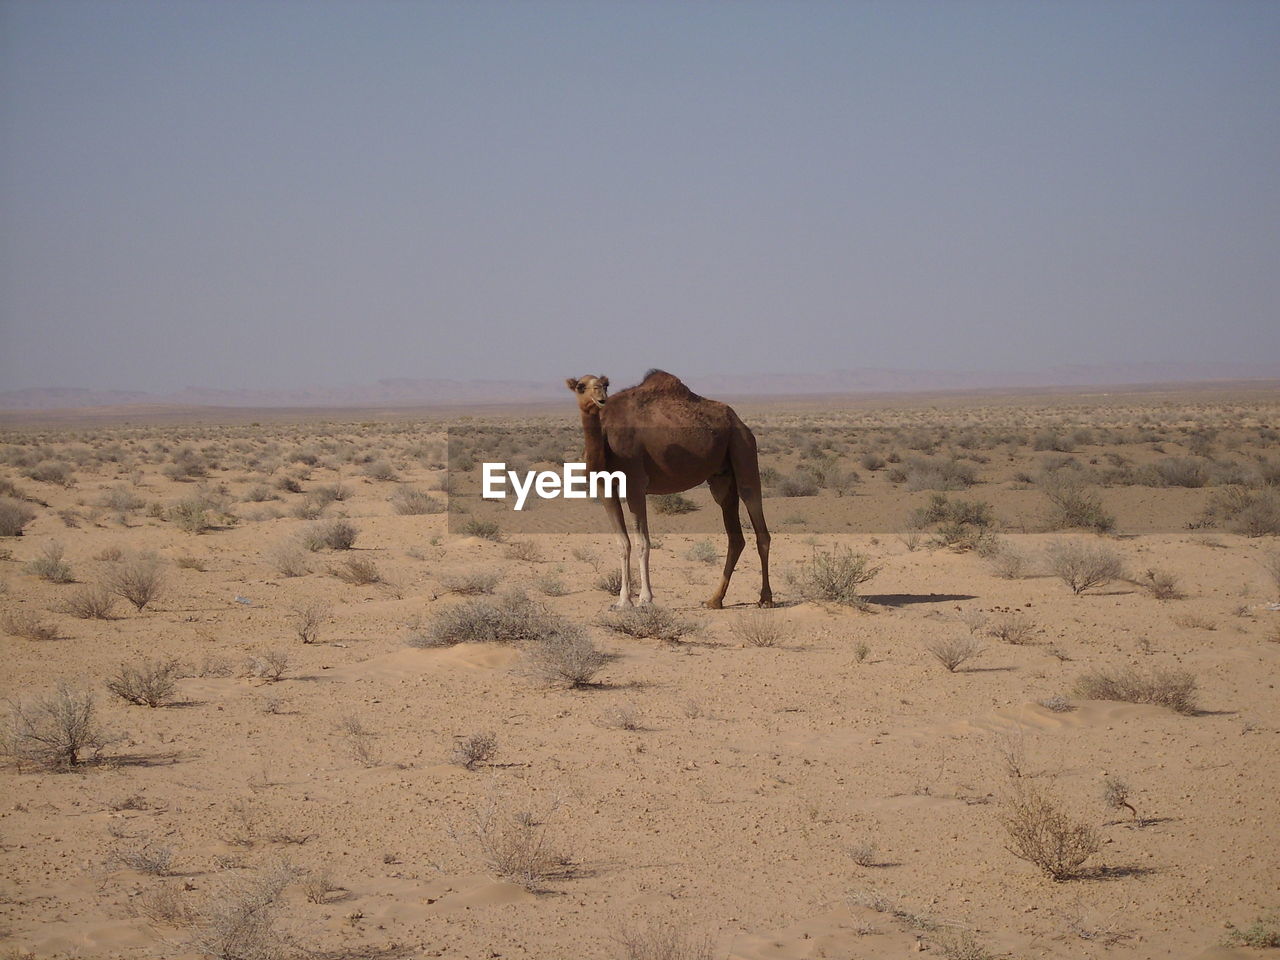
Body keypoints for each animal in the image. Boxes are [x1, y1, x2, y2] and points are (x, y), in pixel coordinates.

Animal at [568, 368, 768, 609]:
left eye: (604, 385)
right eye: (581, 387)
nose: (600, 398)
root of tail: (739, 421)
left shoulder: (635, 483)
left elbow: (642, 542)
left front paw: (645, 599)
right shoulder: (604, 487)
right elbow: (622, 543)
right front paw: (623, 601)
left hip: (742, 445)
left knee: (756, 514)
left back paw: (766, 598)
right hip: (722, 477)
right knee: (735, 534)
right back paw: (714, 600)